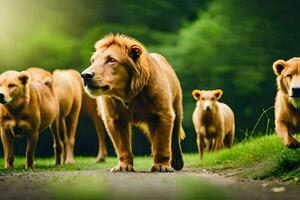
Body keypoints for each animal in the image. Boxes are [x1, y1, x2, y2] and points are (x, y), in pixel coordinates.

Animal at [81, 34, 184, 172]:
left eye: (111, 60)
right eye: (93, 61)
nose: (85, 75)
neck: (128, 96)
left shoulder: (163, 114)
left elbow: (162, 143)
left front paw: (161, 166)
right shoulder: (114, 119)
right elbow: (122, 146)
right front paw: (124, 166)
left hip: (176, 108)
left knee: (174, 137)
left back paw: (177, 162)